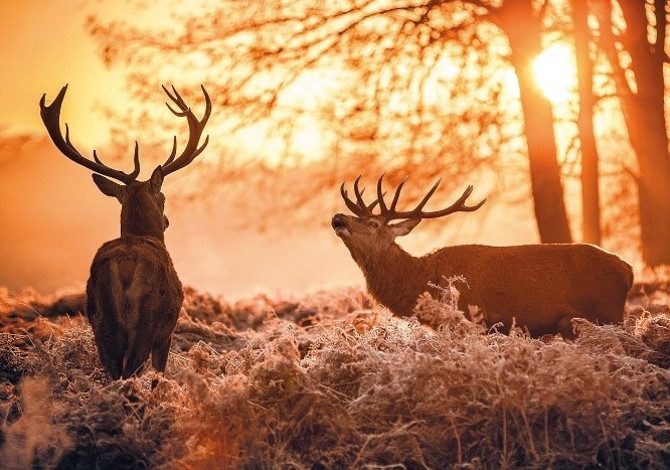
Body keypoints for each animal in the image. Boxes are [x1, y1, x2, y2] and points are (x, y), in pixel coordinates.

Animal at [40, 84, 213, 378]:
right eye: (163, 196)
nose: (167, 221)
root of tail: (124, 268)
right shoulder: (166, 332)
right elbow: (159, 375)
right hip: (146, 320)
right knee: (130, 370)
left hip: (100, 320)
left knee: (112, 371)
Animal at [336, 173, 636, 338]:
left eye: (373, 223)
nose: (338, 217)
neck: (420, 281)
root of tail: (628, 270)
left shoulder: (468, 321)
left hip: (608, 314)